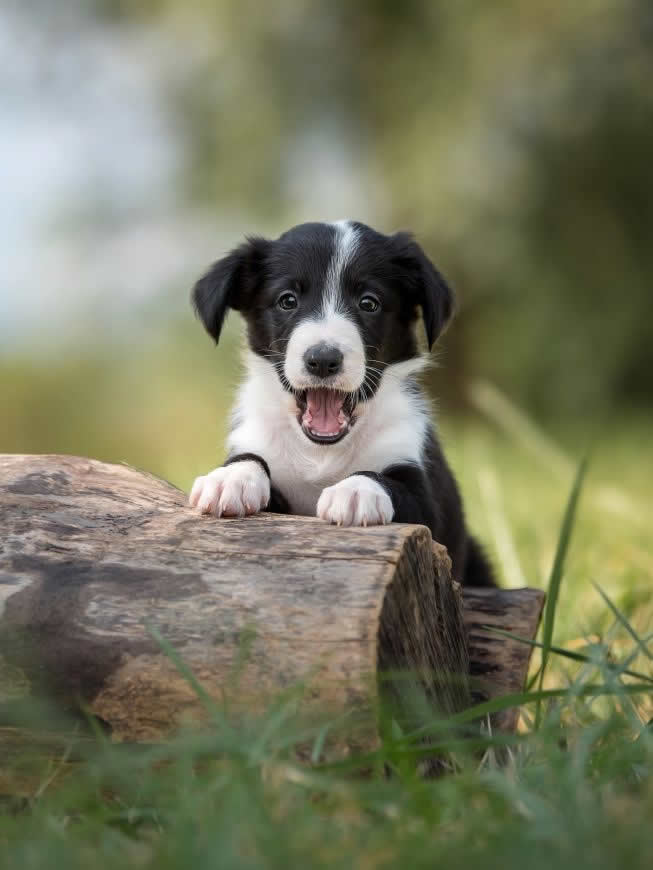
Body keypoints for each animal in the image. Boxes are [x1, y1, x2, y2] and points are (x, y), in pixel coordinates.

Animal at [188, 220, 494, 584]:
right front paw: (230, 479)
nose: (323, 360)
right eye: (287, 300)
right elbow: (251, 458)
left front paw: (356, 491)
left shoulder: (429, 507)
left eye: (369, 303)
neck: (321, 453)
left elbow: (388, 481)